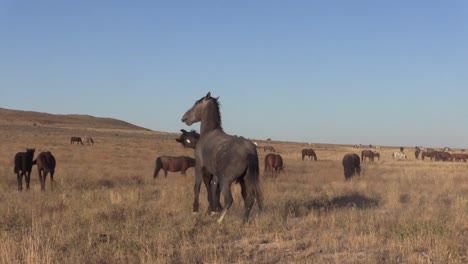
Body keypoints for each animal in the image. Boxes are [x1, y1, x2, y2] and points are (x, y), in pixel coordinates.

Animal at [182, 92, 266, 223]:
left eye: (196, 103)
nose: (184, 118)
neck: (208, 132)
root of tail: (249, 151)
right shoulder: (214, 175)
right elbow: (212, 190)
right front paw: (212, 210)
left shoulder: (199, 166)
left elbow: (198, 187)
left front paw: (196, 210)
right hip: (245, 180)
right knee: (249, 200)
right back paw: (243, 222)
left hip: (226, 180)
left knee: (229, 200)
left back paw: (219, 220)